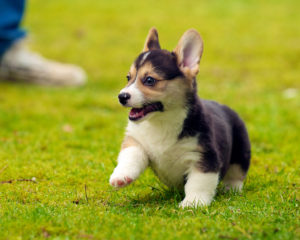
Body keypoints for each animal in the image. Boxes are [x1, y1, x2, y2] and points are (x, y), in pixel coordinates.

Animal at [109, 28, 250, 208]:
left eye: (149, 80)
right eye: (128, 78)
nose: (122, 96)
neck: (162, 121)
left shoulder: (204, 157)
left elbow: (198, 182)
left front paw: (193, 203)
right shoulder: (136, 141)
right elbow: (130, 156)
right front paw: (121, 176)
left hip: (241, 149)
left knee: (237, 172)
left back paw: (231, 188)